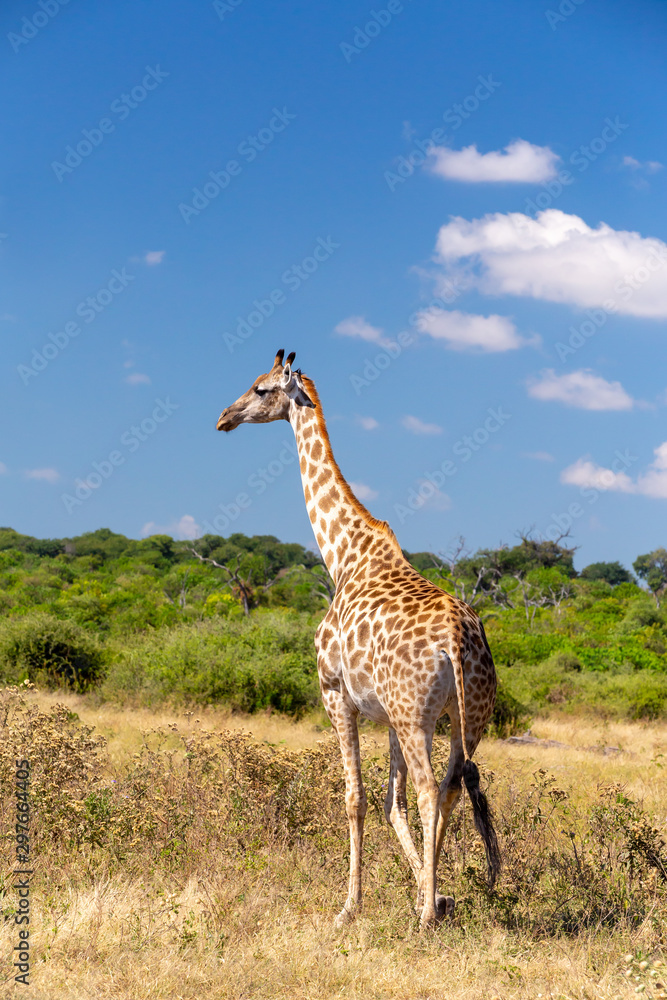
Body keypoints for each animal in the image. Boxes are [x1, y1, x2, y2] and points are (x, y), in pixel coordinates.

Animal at [216, 349, 500, 930]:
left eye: (260, 389)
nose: (224, 418)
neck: (342, 554)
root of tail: (458, 641)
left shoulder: (335, 693)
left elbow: (356, 797)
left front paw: (351, 906)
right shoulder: (386, 713)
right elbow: (392, 804)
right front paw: (433, 891)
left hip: (417, 716)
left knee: (431, 790)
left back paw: (423, 921)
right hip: (466, 718)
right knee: (452, 788)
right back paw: (431, 903)